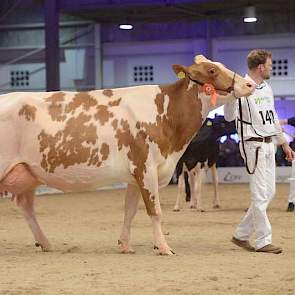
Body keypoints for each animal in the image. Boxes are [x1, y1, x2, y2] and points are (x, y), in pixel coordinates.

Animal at [0, 56, 254, 256]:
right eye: (212, 70)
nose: (249, 83)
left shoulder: (135, 174)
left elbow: (130, 211)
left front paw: (125, 245)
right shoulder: (146, 168)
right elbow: (155, 211)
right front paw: (164, 247)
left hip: (28, 173)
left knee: (25, 205)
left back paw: (45, 243)